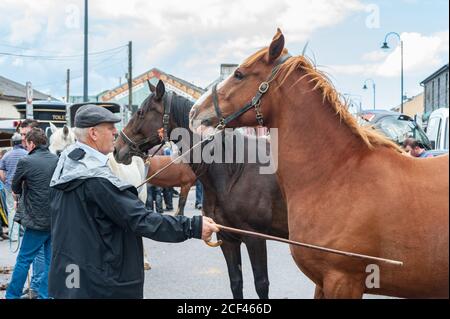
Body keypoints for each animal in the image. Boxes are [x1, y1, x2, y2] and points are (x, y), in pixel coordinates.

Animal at [113, 82, 288, 300]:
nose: (117, 148)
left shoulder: (255, 238)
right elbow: (236, 282)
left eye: (140, 112)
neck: (234, 171)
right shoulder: (227, 239)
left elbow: (261, 284)